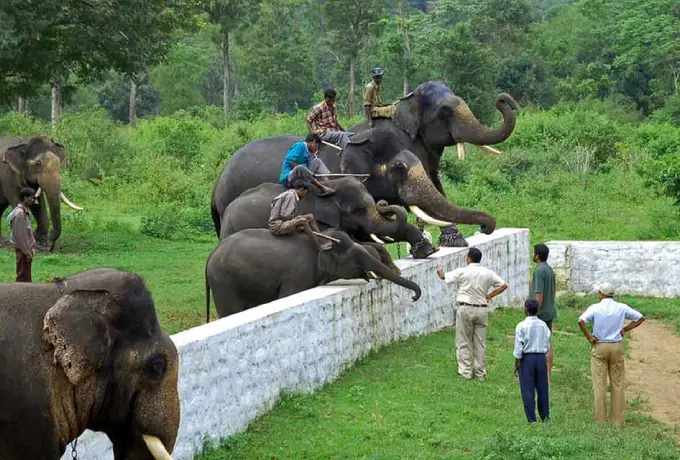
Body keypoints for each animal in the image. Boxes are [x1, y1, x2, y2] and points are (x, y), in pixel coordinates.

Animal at [205, 228, 421, 319]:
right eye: (357, 257)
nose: (413, 297)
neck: (322, 240)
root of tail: (210, 256)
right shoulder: (297, 275)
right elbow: (287, 295)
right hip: (223, 282)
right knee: (231, 311)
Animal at [210, 81, 517, 248]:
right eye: (445, 111)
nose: (504, 99)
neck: (402, 105)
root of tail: (217, 182)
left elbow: (435, 186)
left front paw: (456, 242)